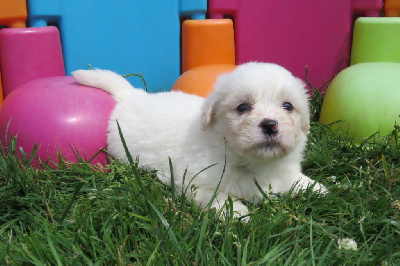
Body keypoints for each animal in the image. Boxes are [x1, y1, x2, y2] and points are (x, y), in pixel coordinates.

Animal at [73, 62, 326, 218]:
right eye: (242, 107)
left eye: (288, 106)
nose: (270, 125)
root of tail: (133, 96)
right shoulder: (194, 181)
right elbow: (216, 196)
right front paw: (237, 213)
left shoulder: (281, 171)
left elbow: (295, 179)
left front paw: (316, 187)